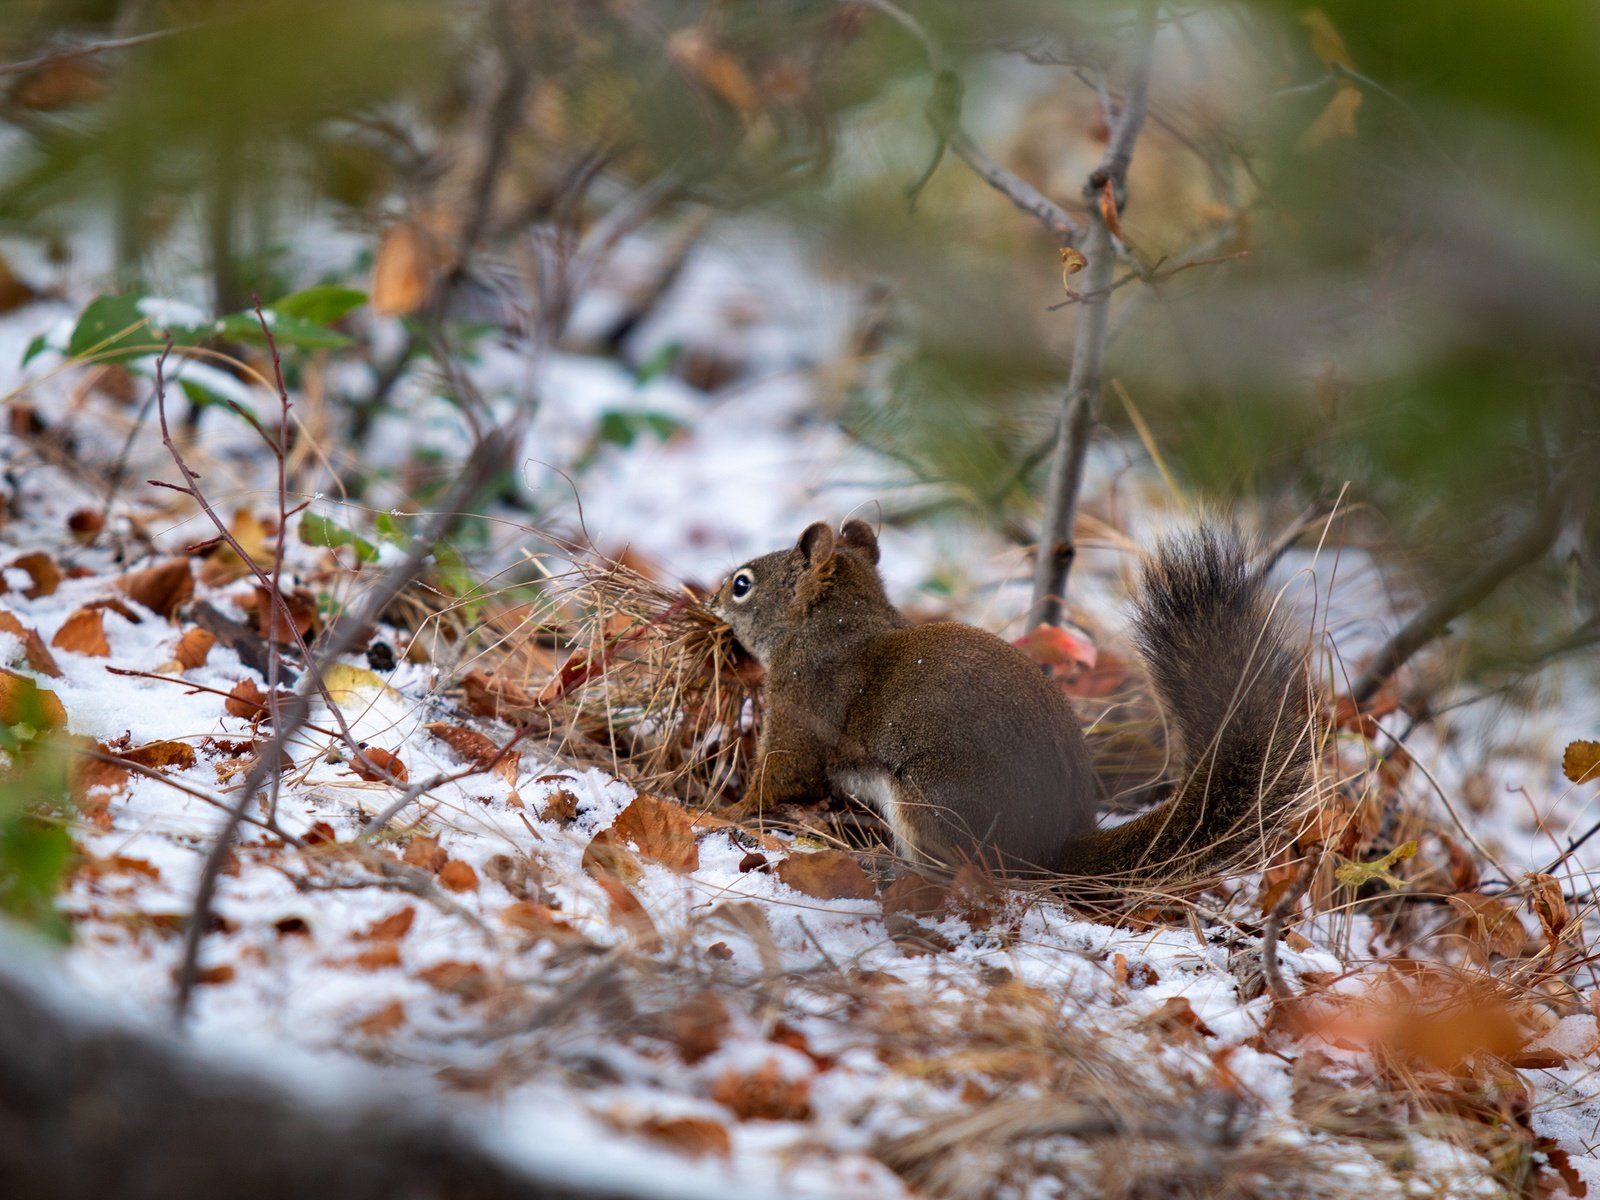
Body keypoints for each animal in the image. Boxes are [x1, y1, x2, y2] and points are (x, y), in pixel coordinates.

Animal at [713, 518, 1312, 883]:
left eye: (743, 584)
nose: (713, 600)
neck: (837, 626)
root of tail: (1055, 844)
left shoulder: (802, 705)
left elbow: (780, 774)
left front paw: (722, 812)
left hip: (933, 802)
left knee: (959, 871)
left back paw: (887, 867)